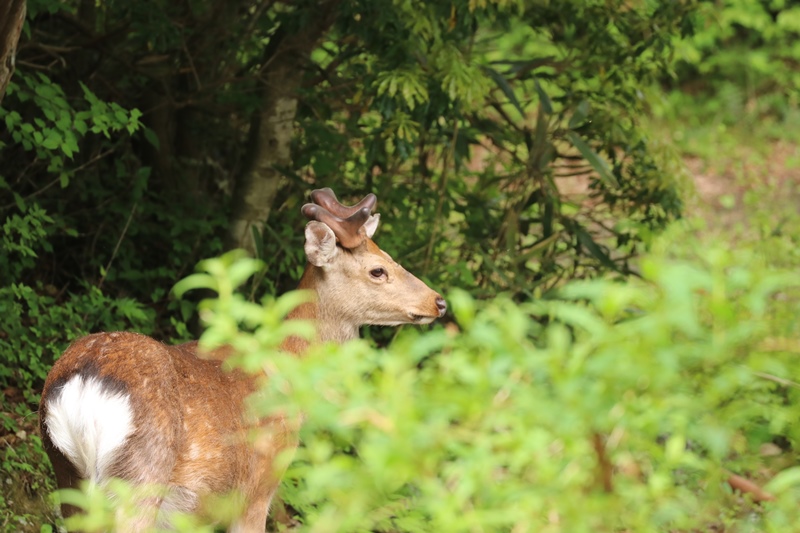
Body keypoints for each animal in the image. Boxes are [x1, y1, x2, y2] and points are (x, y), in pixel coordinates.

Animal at [37, 188, 446, 532]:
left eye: (390, 257)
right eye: (378, 270)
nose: (438, 301)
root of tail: (86, 383)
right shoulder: (258, 487)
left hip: (68, 478)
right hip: (140, 478)